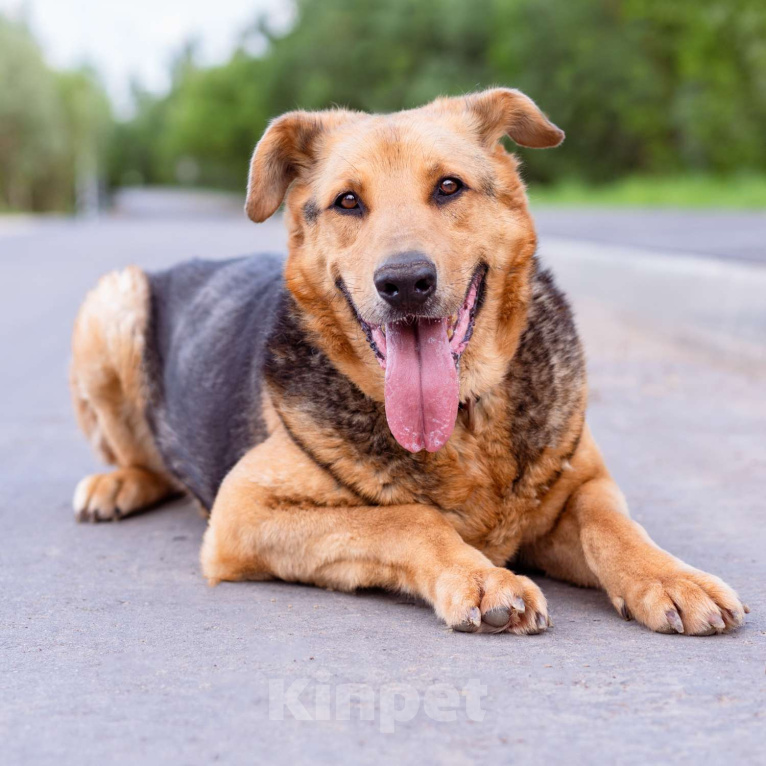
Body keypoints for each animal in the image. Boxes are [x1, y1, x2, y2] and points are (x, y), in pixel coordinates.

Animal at [70, 90, 752, 640]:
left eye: (448, 187)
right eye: (348, 202)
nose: (404, 283)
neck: (466, 421)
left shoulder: (582, 482)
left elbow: (613, 525)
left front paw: (672, 577)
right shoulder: (244, 512)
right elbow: (408, 518)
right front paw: (483, 577)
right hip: (113, 300)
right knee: (140, 457)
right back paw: (117, 484)